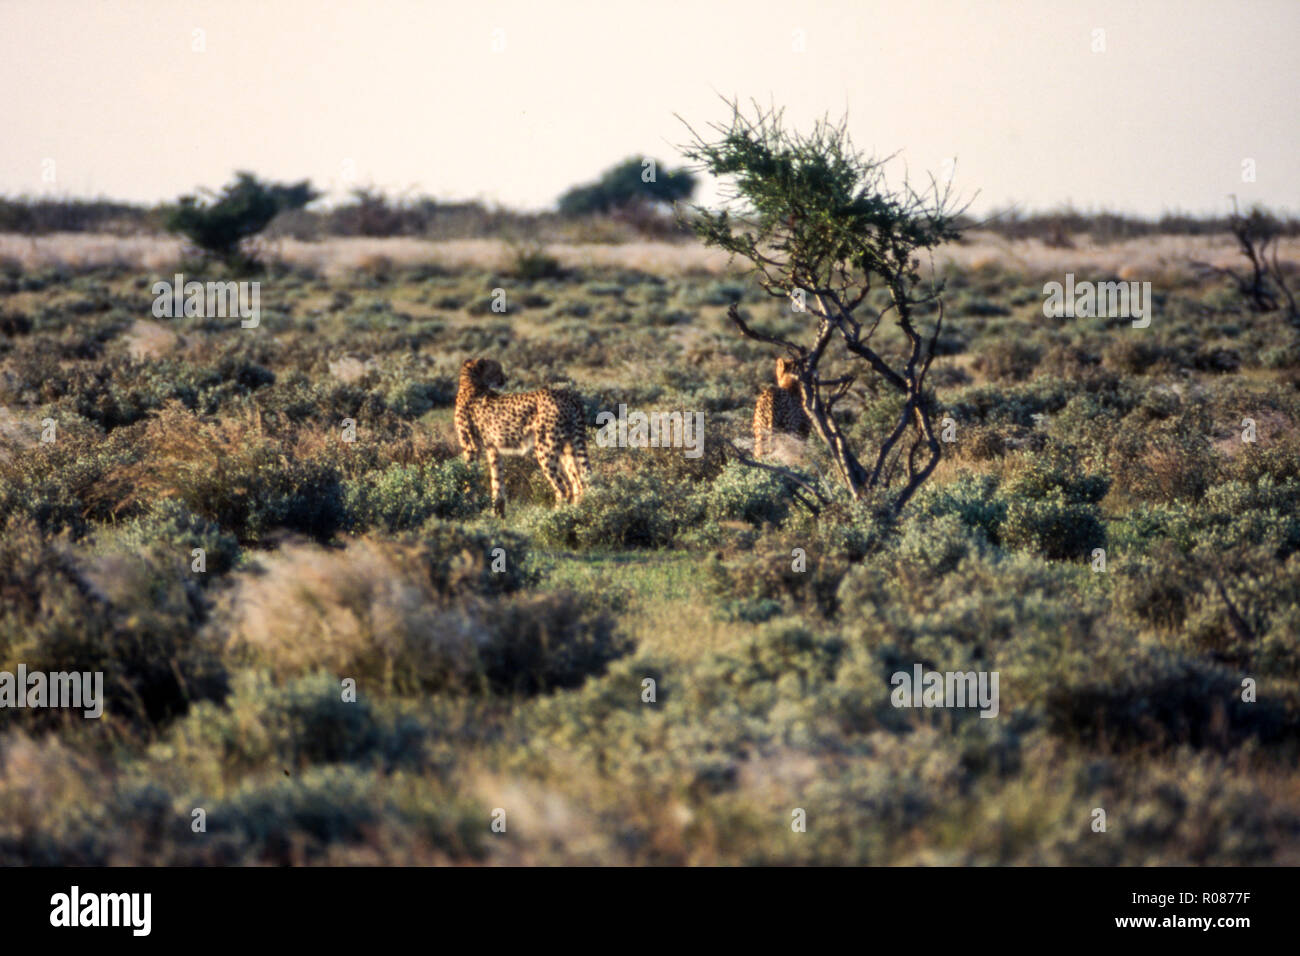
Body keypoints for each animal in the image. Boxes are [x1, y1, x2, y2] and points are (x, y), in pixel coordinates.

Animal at [449, 356, 587, 520]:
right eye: (497, 370)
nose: (505, 378)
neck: (471, 382)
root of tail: (567, 395)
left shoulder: (471, 447)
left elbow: (469, 476)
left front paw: (467, 503)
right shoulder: (492, 448)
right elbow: (497, 480)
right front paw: (498, 513)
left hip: (545, 447)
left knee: (563, 487)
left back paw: (553, 516)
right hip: (568, 446)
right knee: (578, 484)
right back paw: (576, 513)